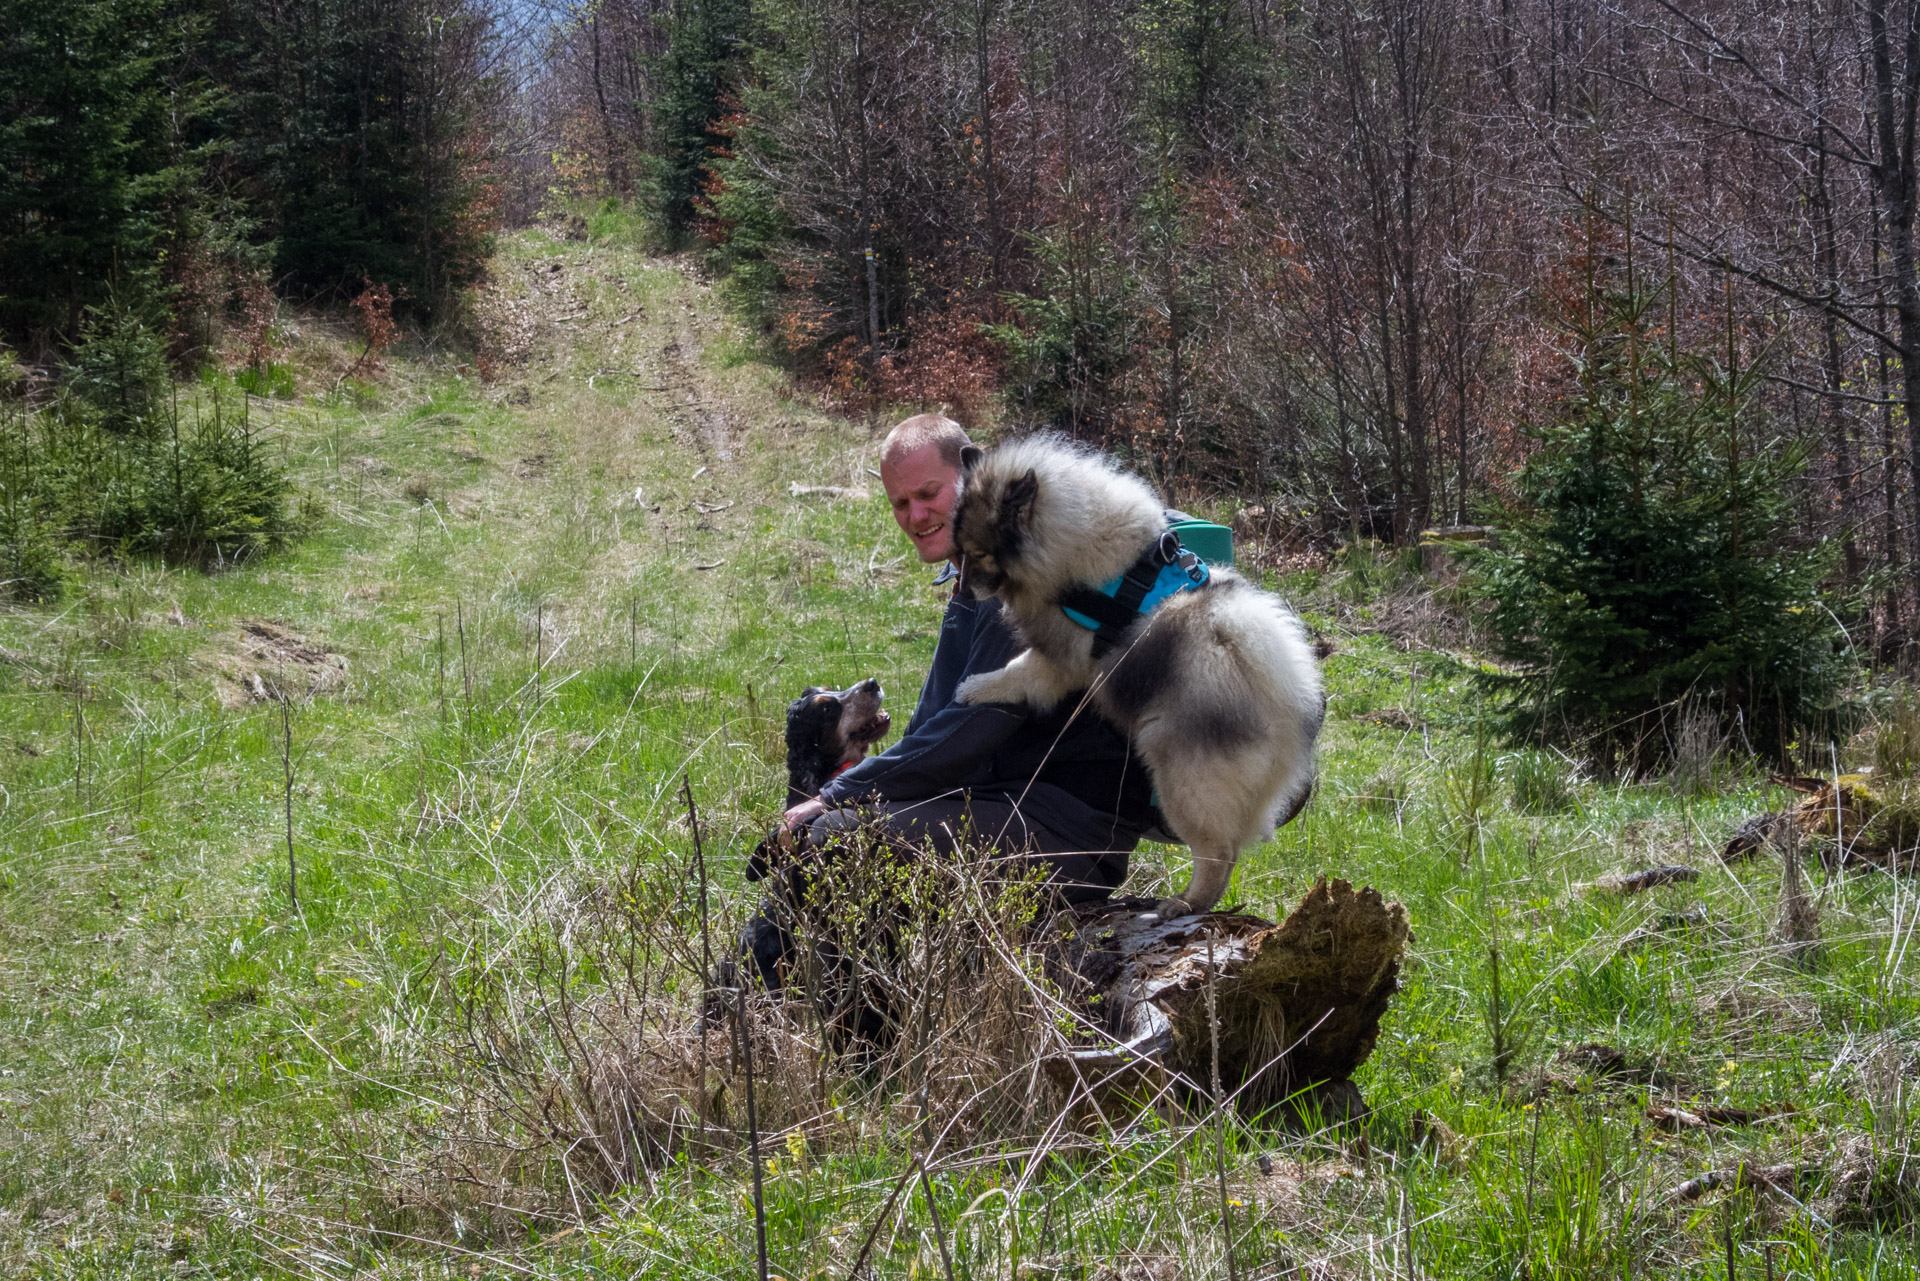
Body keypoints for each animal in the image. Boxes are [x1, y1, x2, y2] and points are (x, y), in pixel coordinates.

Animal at [952, 435, 1328, 918]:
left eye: (979, 553)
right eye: (961, 550)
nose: (961, 590)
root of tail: (1285, 716)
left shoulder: (1060, 659)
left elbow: (1017, 674)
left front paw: (973, 689)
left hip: (1175, 773)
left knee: (1218, 852)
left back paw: (1184, 903)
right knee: (1227, 856)